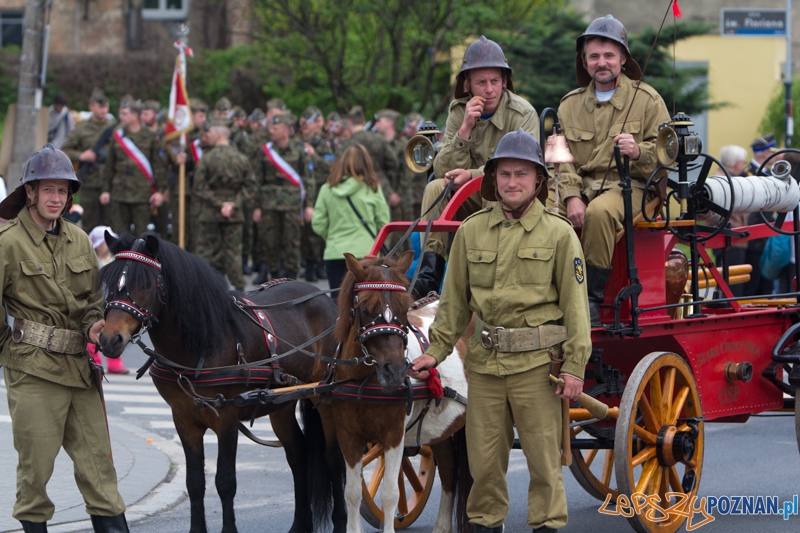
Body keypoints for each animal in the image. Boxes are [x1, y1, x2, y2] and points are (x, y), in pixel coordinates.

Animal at [95, 234, 346, 532]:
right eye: (109, 284)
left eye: (145, 283)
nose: (110, 339)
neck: (200, 346)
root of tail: (325, 299)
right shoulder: (184, 420)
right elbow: (195, 482)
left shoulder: (226, 419)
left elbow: (225, 482)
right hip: (282, 403)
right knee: (298, 453)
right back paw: (300, 524)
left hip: (326, 398)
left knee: (334, 459)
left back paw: (341, 520)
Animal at [324, 250, 476, 532]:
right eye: (365, 309)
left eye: (404, 310)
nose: (395, 371)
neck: (365, 383)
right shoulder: (348, 436)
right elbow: (352, 493)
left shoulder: (394, 436)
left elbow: (390, 494)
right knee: (449, 471)